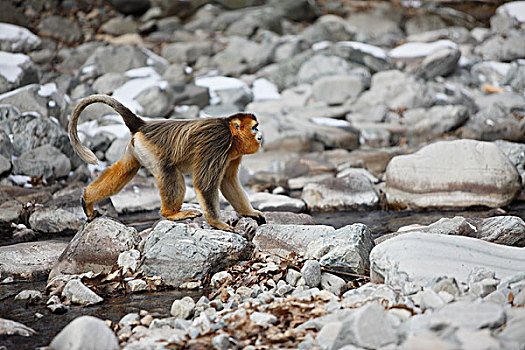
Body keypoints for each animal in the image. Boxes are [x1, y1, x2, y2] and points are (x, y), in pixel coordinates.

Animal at [68, 95, 266, 232]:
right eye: (255, 128)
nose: (261, 135)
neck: (230, 133)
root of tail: (143, 126)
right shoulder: (218, 140)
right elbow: (205, 185)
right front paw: (217, 223)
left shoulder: (232, 154)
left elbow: (228, 182)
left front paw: (249, 212)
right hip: (150, 149)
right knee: (170, 173)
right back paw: (171, 214)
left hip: (137, 148)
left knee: (126, 170)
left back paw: (88, 198)